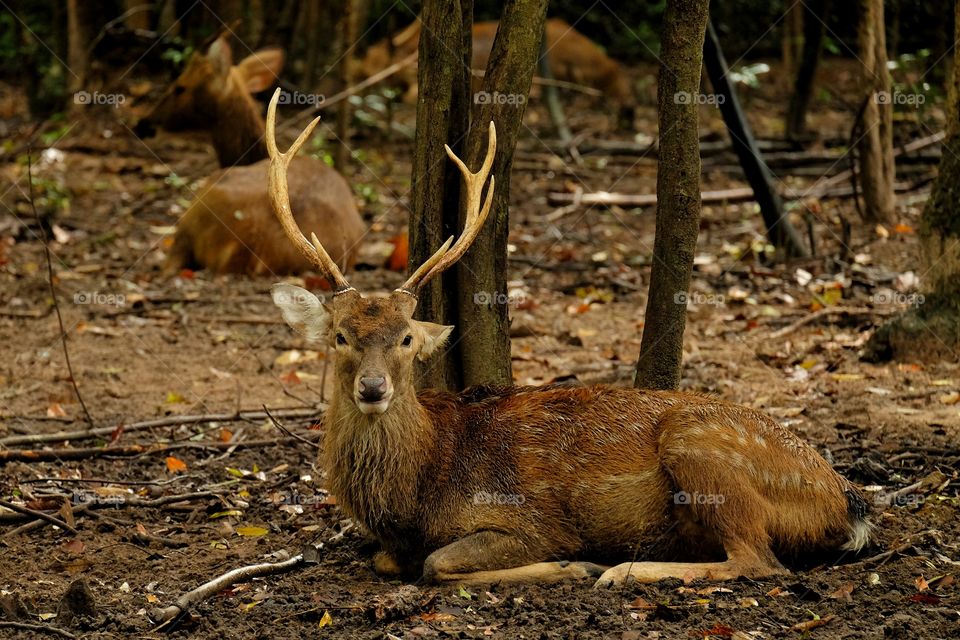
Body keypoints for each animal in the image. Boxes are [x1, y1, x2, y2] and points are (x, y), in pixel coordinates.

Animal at [264, 89, 871, 586]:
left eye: (407, 339)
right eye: (340, 336)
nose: (373, 388)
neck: (417, 495)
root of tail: (845, 501)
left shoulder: (525, 519)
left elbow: (437, 563)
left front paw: (573, 564)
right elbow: (387, 561)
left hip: (702, 447)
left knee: (757, 559)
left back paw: (621, 571)